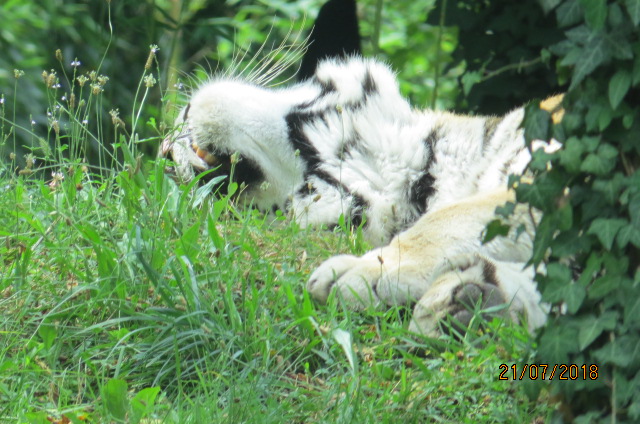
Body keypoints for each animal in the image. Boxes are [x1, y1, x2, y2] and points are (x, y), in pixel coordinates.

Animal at [160, 57, 555, 336]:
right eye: (272, 212)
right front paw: (480, 301)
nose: (168, 160)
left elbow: (451, 217)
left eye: (304, 191)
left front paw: (363, 271)